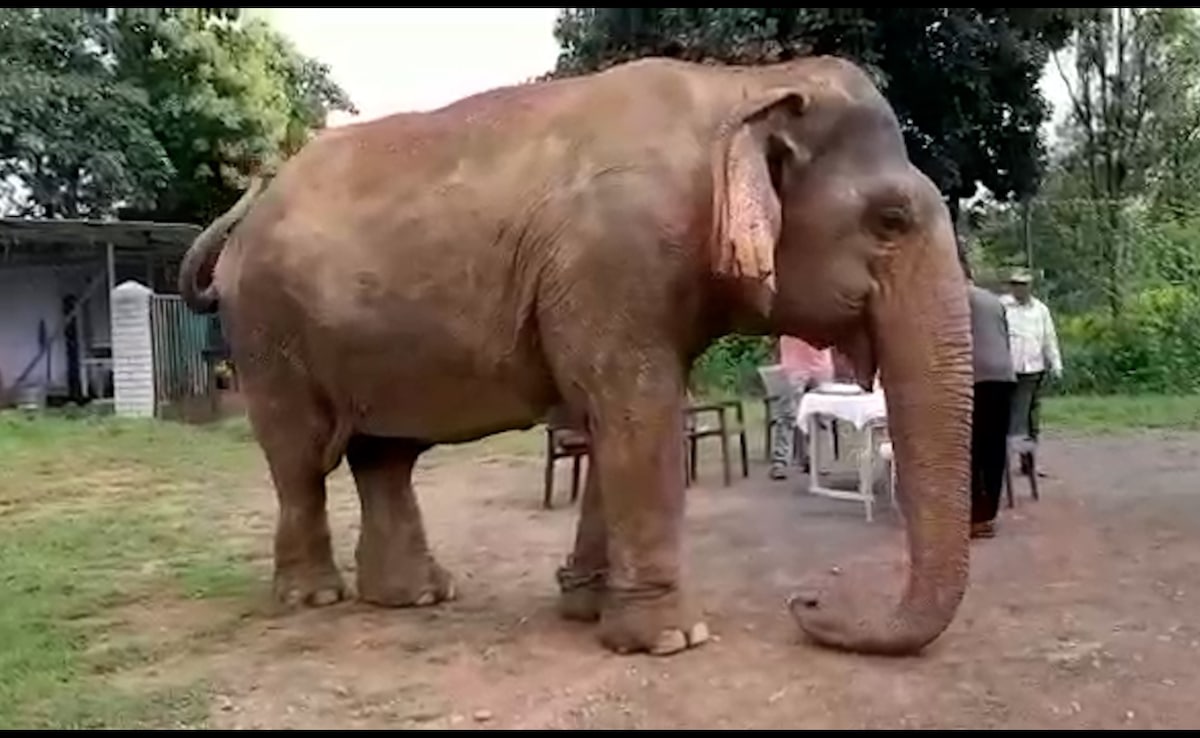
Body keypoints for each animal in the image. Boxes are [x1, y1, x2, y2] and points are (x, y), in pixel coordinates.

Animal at [177, 54, 973, 658]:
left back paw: (417, 596)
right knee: (299, 457)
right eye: (891, 221)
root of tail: (245, 218)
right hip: (268, 330)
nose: (808, 601)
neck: (742, 86)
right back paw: (315, 597)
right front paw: (671, 640)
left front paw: (588, 610)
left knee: (383, 457)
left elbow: (612, 420)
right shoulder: (614, 256)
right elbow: (638, 412)